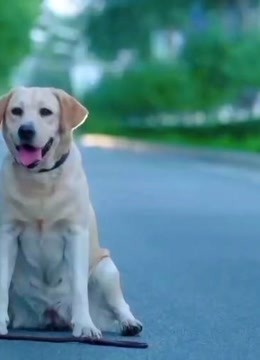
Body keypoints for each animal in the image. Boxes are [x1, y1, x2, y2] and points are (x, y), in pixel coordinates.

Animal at [0, 86, 143, 338]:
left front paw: (85, 326)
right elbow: (1, 286)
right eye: (16, 111)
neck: (40, 180)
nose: (25, 130)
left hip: (106, 268)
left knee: (120, 304)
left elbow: (78, 287)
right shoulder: (7, 233)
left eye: (45, 112)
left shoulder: (76, 234)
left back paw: (129, 323)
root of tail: (52, 316)